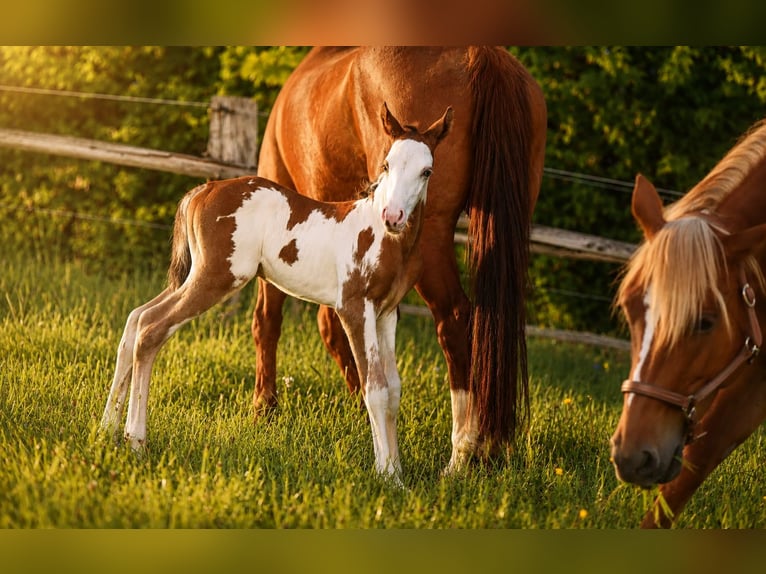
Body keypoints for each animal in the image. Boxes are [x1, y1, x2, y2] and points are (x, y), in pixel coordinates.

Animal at [100, 103, 454, 482]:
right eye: (386, 164)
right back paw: (136, 440)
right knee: (152, 328)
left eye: (427, 171)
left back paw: (107, 428)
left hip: (197, 276)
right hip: (217, 278)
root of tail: (203, 191)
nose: (394, 216)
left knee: (136, 318)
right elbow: (375, 388)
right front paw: (388, 477)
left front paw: (396, 469)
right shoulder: (354, 308)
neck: (384, 237)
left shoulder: (386, 313)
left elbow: (394, 390)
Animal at [252, 47, 547, 472]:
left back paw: (461, 454)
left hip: (431, 238)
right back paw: (493, 446)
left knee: (455, 319)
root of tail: (482, 55)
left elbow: (269, 318)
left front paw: (264, 406)